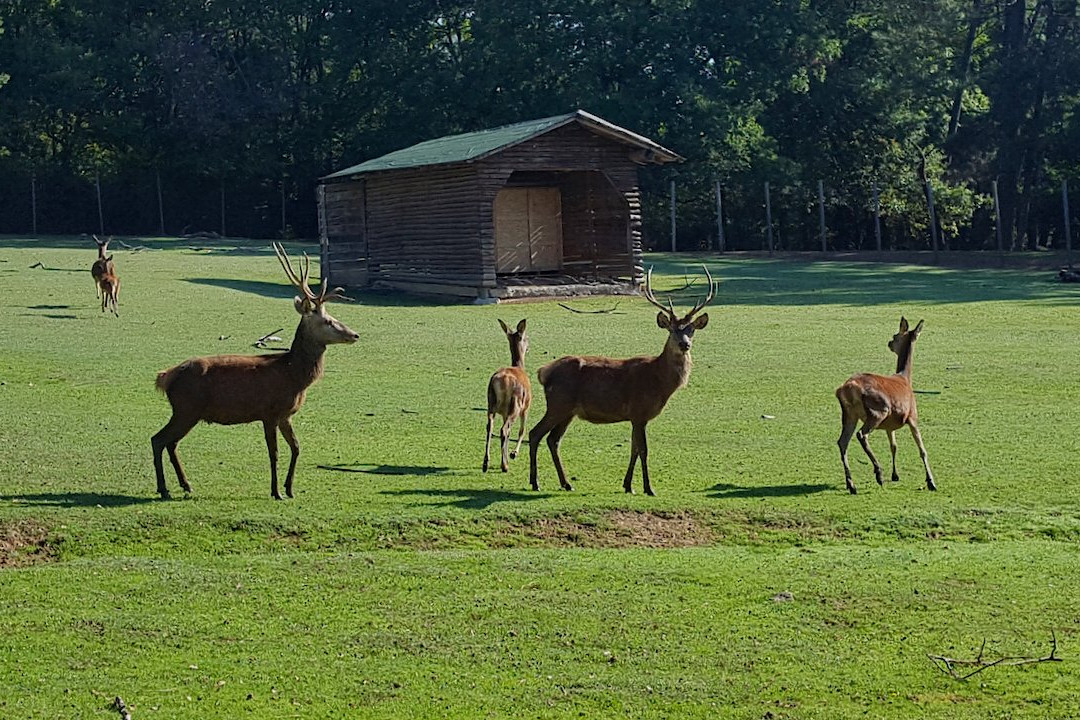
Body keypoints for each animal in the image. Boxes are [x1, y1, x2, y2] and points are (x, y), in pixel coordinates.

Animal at [152, 241, 358, 500]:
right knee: (159, 439)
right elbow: (274, 452)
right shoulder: (269, 412)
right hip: (186, 408)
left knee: (168, 442)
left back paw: (185, 485)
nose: (355, 334)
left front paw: (289, 489)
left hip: (186, 411)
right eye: (328, 321)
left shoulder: (286, 415)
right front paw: (275, 491)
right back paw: (165, 488)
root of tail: (165, 376)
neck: (294, 376)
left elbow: (297, 447)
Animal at [481, 317, 531, 474]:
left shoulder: (503, 412)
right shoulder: (526, 407)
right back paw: (505, 466)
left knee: (490, 427)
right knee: (504, 429)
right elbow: (522, 430)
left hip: (491, 401)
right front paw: (513, 454)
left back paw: (486, 463)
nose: (529, 347)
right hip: (516, 404)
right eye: (526, 338)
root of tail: (502, 381)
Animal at [527, 264, 712, 496]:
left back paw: (566, 483)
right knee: (535, 433)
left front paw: (628, 485)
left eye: (691, 330)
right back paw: (535, 482)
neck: (659, 382)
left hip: (568, 411)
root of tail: (543, 372)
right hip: (558, 404)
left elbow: (634, 449)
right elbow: (643, 450)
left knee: (553, 439)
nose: (684, 344)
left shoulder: (635, 417)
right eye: (671, 330)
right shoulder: (639, 412)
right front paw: (648, 488)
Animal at [833, 317, 937, 496]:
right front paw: (931, 482)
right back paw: (878, 474)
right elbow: (922, 450)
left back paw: (851, 484)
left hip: (849, 414)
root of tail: (847, 388)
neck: (906, 379)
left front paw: (895, 475)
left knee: (842, 441)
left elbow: (893, 446)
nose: (889, 342)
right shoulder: (913, 416)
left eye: (895, 336)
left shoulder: (890, 425)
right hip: (878, 410)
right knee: (861, 435)